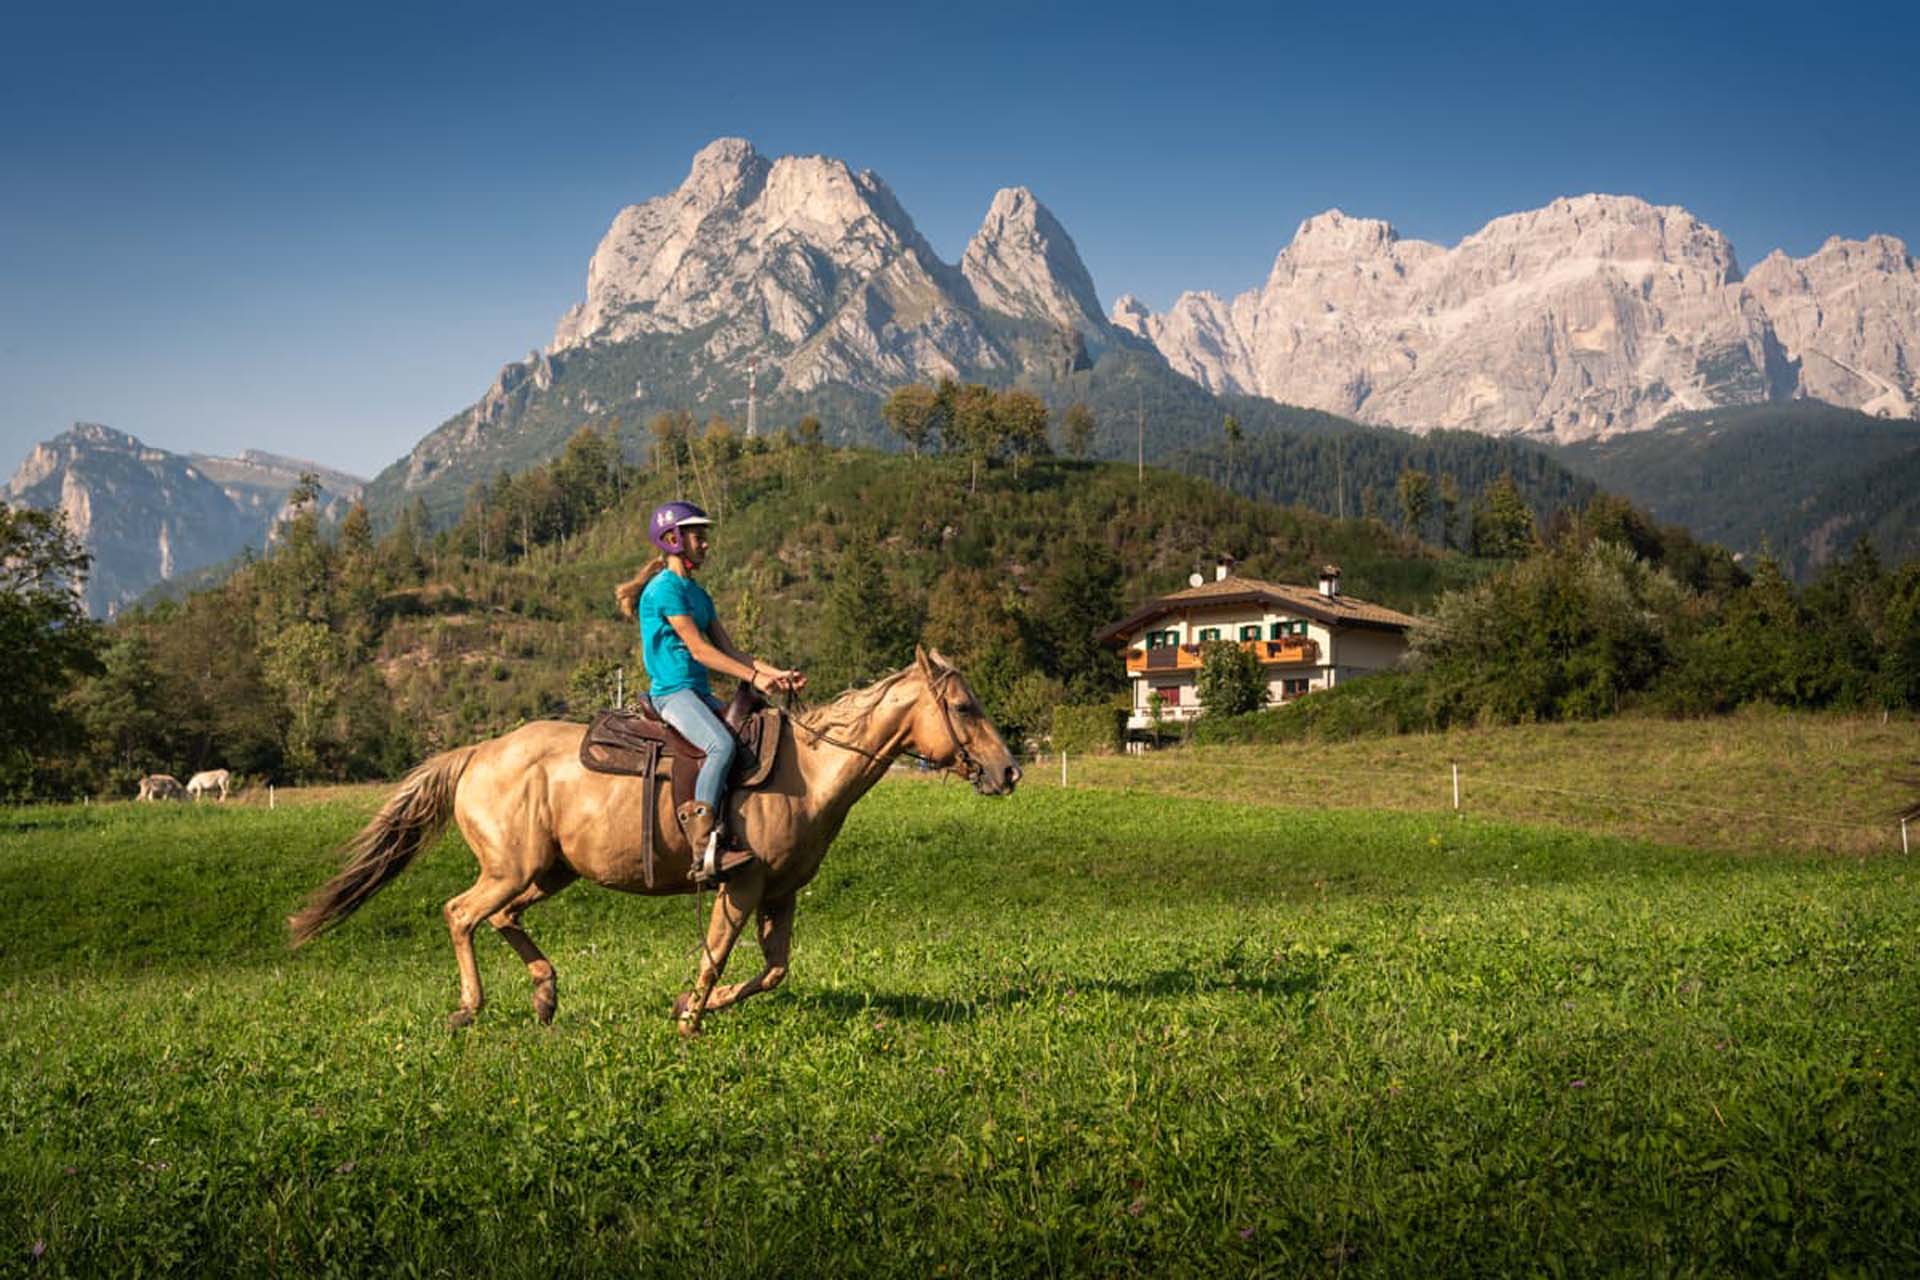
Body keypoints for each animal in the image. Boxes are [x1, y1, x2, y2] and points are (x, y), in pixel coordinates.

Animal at [289, 648, 1021, 1035]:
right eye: (964, 707)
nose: (1008, 770)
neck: (809, 773)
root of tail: (476, 753)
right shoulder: (740, 883)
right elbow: (717, 956)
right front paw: (690, 1017)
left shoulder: (781, 893)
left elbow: (774, 970)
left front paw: (689, 1006)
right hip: (510, 868)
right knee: (461, 913)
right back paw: (471, 1007)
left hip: (547, 872)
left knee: (500, 918)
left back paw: (545, 993)